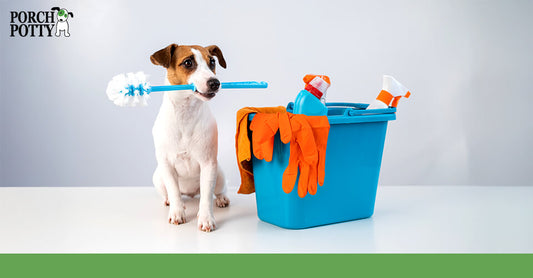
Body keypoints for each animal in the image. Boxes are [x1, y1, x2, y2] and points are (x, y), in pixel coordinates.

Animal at [152, 44, 231, 231]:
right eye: (188, 62)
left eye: (212, 62)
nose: (215, 83)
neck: (186, 112)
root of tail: (191, 193)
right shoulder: (166, 165)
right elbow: (174, 191)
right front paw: (177, 213)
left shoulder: (208, 164)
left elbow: (207, 196)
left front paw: (206, 218)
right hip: (158, 178)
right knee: (171, 193)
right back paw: (172, 202)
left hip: (219, 175)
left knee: (217, 191)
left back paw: (222, 199)